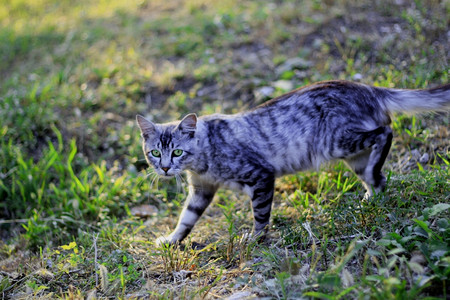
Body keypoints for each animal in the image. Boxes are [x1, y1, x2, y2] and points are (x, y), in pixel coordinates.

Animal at [137, 80, 450, 246]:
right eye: (156, 153)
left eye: (177, 152)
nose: (165, 168)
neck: (204, 157)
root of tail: (368, 88)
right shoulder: (201, 190)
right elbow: (186, 218)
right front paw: (171, 240)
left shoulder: (261, 176)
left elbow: (261, 217)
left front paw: (255, 240)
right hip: (352, 155)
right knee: (380, 179)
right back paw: (371, 199)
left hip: (337, 141)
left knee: (385, 133)